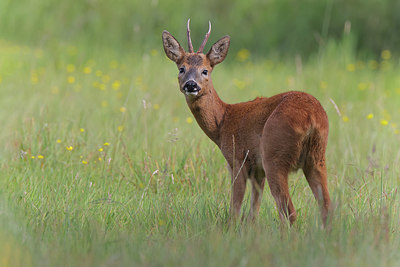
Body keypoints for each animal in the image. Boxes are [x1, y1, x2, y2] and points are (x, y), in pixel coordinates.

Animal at [162, 20, 332, 226]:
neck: (223, 122)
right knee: (326, 208)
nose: (191, 85)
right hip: (317, 159)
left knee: (289, 211)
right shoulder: (257, 171)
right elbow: (253, 212)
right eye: (181, 69)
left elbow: (235, 209)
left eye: (205, 70)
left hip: (275, 156)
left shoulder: (237, 160)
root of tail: (312, 117)